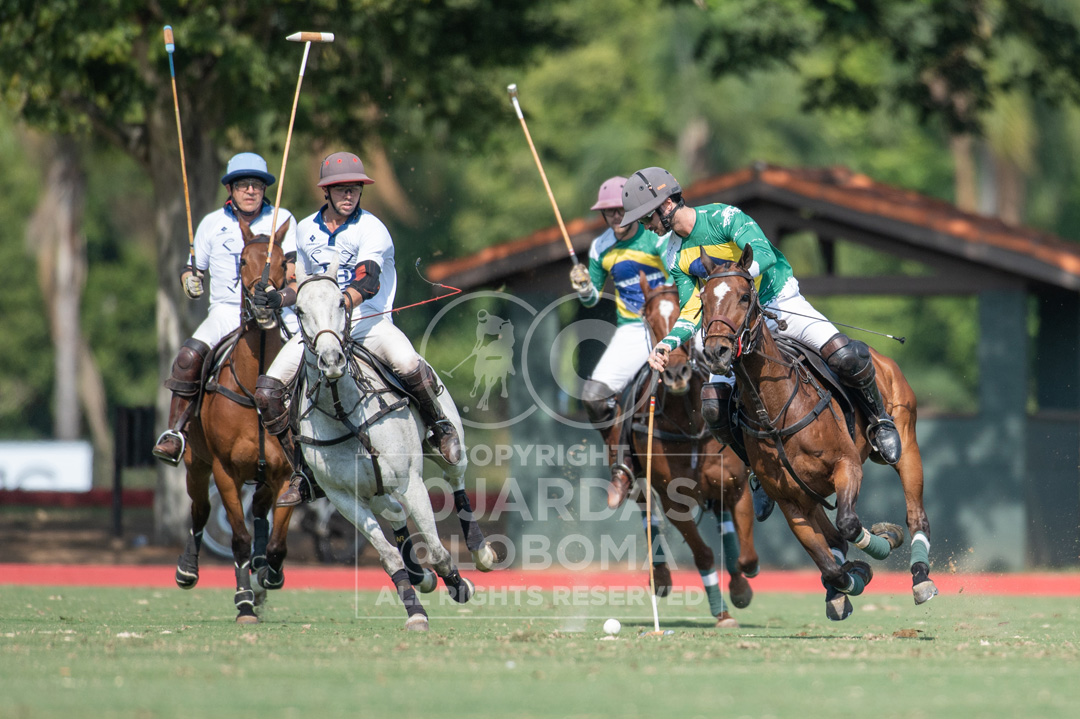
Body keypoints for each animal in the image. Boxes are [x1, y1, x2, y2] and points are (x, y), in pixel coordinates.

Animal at [176, 220, 295, 621]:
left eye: (282, 260)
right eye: (242, 259)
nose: (261, 303)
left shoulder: (287, 472)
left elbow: (276, 543)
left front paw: (269, 575)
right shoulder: (225, 471)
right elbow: (238, 537)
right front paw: (244, 600)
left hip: (263, 473)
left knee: (258, 508)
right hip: (196, 463)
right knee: (200, 509)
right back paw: (187, 569)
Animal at [287, 263, 490, 626]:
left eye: (341, 302)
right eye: (298, 310)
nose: (332, 360)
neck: (344, 412)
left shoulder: (411, 482)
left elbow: (438, 551)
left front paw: (458, 585)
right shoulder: (343, 498)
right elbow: (388, 557)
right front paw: (415, 611)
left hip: (447, 446)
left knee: (455, 478)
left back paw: (480, 550)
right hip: (376, 491)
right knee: (393, 511)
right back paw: (420, 577)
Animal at [617, 272, 760, 626]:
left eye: (690, 314)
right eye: (648, 319)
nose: (676, 372)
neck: (689, 420)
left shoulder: (735, 484)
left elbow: (748, 556)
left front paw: (740, 588)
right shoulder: (673, 499)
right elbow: (703, 553)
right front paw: (722, 611)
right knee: (647, 512)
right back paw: (661, 577)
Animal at [691, 245, 937, 617]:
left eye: (745, 296)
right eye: (704, 299)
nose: (717, 352)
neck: (775, 412)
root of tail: (881, 357)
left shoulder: (846, 466)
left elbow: (849, 524)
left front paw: (882, 544)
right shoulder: (791, 500)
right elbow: (828, 562)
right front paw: (852, 578)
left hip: (906, 445)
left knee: (916, 515)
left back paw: (920, 576)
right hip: (810, 492)